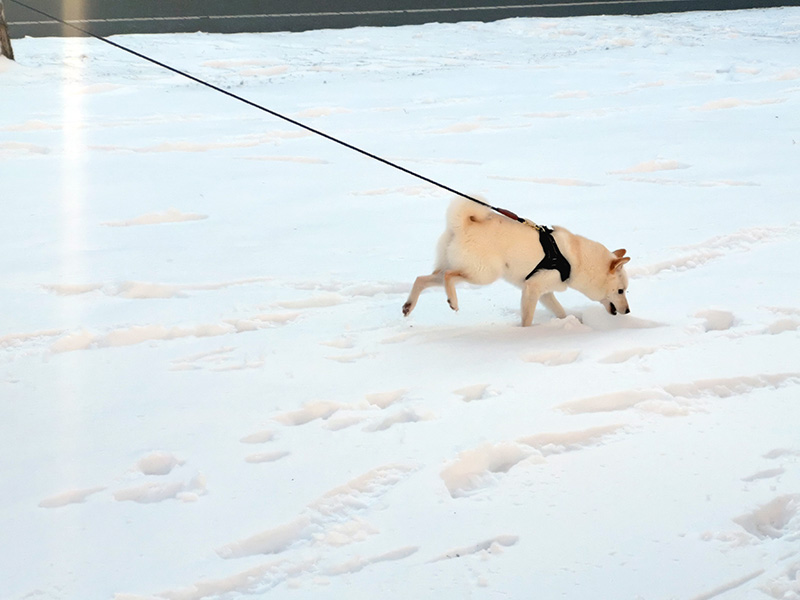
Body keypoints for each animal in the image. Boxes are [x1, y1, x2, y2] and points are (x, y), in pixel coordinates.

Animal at [404, 198, 628, 326]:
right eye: (621, 291)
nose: (628, 311)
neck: (576, 260)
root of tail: (462, 224)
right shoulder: (531, 289)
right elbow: (527, 319)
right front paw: (525, 335)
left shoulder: (544, 293)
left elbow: (560, 311)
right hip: (483, 274)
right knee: (449, 277)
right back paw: (453, 301)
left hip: (454, 268)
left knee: (421, 279)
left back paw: (408, 306)